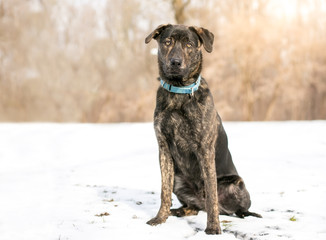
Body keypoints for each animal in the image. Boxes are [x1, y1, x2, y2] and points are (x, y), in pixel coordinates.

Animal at [144, 23, 262, 234]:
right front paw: (160, 219)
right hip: (178, 181)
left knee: (234, 208)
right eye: (168, 42)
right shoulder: (163, 149)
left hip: (235, 184)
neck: (179, 92)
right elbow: (164, 192)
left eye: (189, 45)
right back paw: (178, 211)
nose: (175, 62)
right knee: (193, 207)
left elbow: (212, 196)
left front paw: (213, 228)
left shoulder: (205, 149)